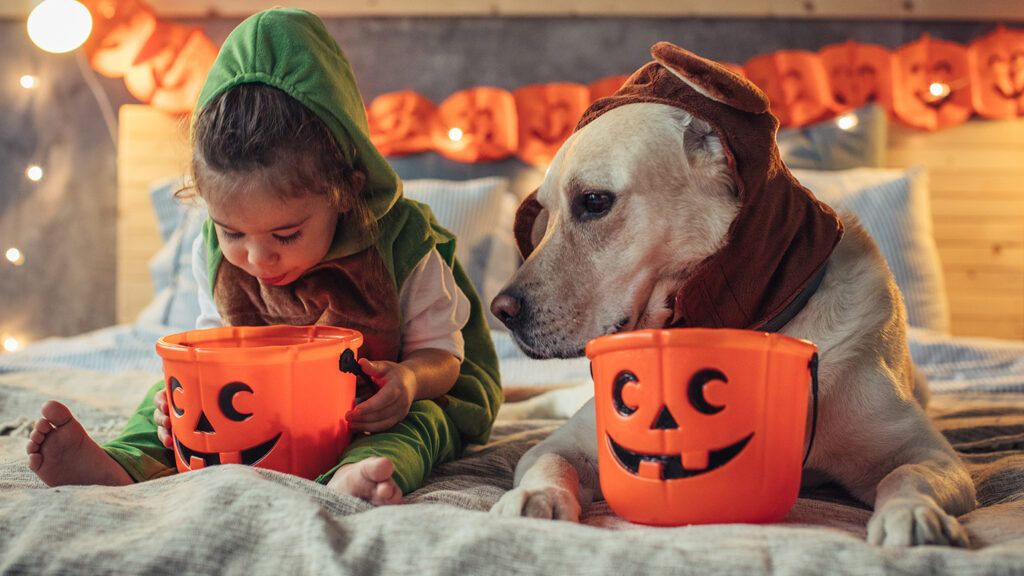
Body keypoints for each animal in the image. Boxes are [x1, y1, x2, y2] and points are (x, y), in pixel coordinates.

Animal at [487, 42, 974, 545]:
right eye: (544, 214)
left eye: (595, 201)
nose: (500, 310)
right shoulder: (570, 442)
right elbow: (548, 460)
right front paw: (535, 497)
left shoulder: (934, 455)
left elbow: (907, 475)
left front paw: (913, 514)